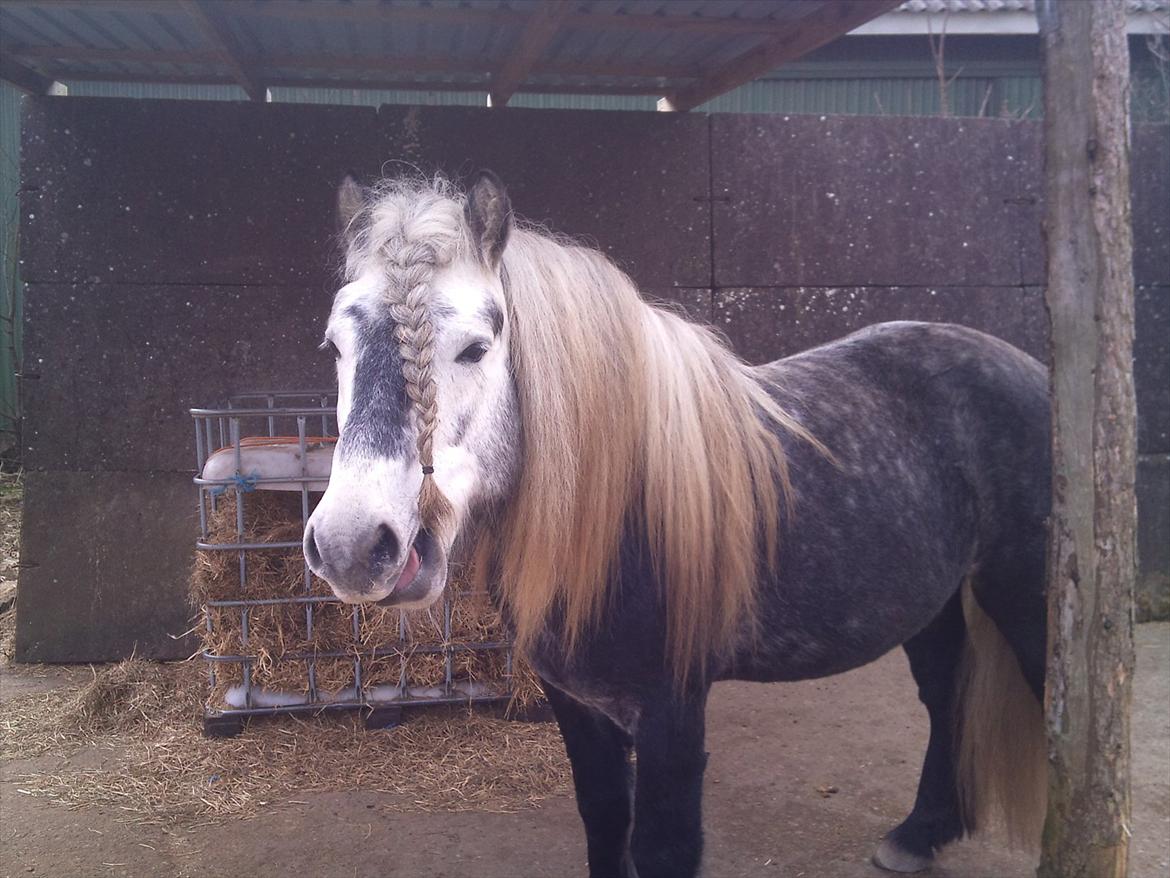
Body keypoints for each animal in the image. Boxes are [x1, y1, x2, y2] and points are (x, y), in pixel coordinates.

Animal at [303, 171, 1050, 877]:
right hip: (932, 604)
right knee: (946, 697)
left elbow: (665, 847)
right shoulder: (577, 707)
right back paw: (919, 835)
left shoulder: (673, 714)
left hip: (1024, 601)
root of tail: (1027, 367)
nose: (350, 546)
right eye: (335, 346)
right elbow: (606, 819)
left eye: (476, 348)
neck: (618, 513)